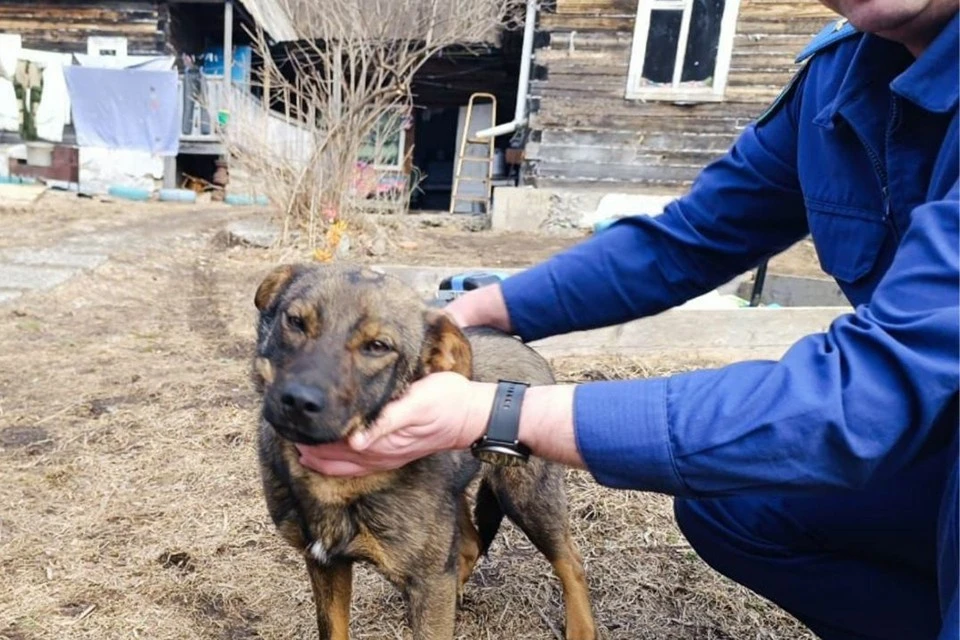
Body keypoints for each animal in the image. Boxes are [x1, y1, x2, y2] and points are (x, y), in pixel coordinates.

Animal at [251, 264, 596, 640]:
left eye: (378, 346)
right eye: (295, 322)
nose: (298, 401)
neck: (336, 484)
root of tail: (520, 345)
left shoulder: (428, 579)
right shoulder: (325, 563)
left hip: (526, 496)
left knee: (571, 562)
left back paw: (581, 628)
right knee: (470, 545)